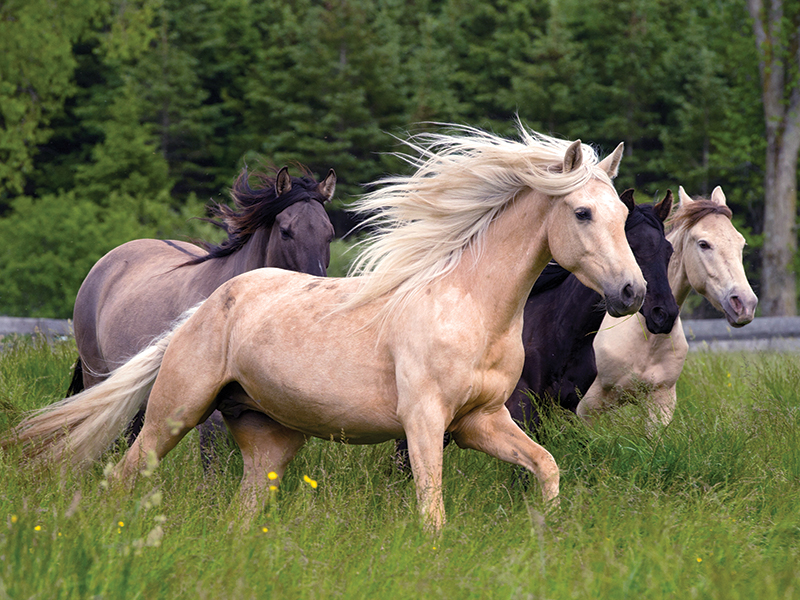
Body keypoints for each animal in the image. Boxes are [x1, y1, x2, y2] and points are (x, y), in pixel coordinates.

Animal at [577, 185, 758, 427]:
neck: (646, 341)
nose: (745, 304)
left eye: (741, 243)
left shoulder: (661, 402)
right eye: (703, 244)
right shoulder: (585, 409)